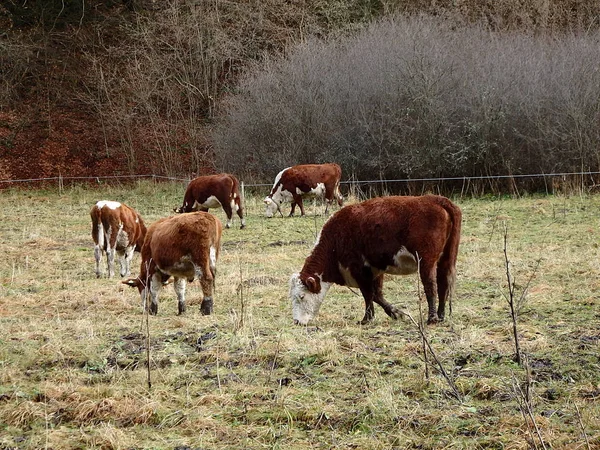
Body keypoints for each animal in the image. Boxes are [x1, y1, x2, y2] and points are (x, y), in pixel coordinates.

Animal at [288, 195, 462, 326]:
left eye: (301, 296)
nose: (296, 321)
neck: (336, 239)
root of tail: (434, 199)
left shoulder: (359, 269)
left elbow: (368, 294)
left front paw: (367, 319)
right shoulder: (376, 269)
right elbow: (377, 295)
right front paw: (396, 313)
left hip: (426, 261)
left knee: (430, 285)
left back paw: (432, 318)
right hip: (445, 258)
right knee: (444, 283)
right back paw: (441, 315)